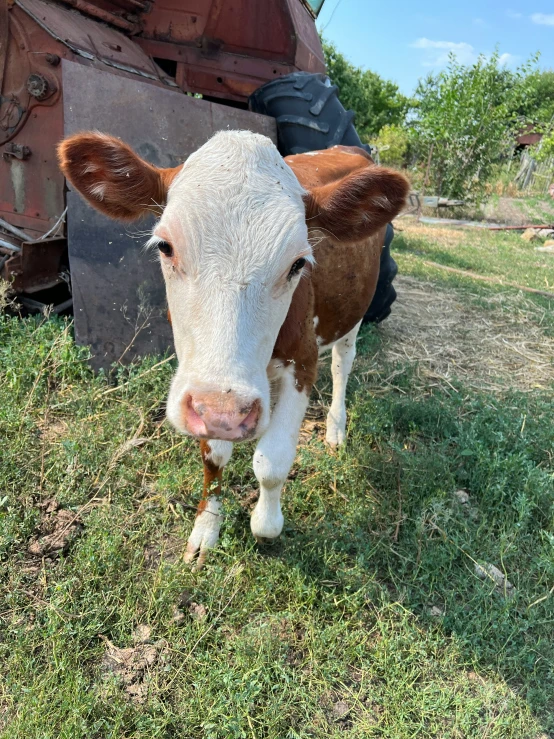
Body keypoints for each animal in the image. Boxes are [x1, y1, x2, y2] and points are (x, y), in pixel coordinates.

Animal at [58, 130, 408, 568]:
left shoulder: (303, 362)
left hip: (353, 313)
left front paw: (266, 525)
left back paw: (335, 430)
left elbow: (271, 462)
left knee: (343, 364)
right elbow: (213, 458)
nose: (225, 412)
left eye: (298, 264)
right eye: (165, 247)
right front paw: (206, 529)